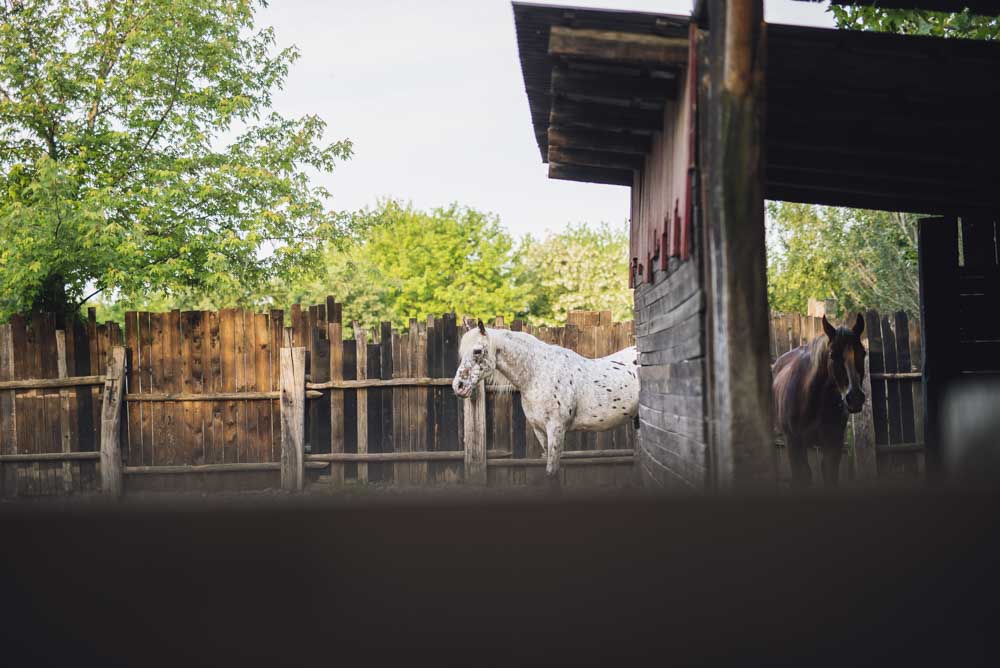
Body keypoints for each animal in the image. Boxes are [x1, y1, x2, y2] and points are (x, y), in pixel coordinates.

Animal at [450, 318, 636, 486]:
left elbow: (552, 473)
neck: (538, 373)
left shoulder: (556, 429)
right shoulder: (540, 430)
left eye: (477, 351)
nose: (458, 386)